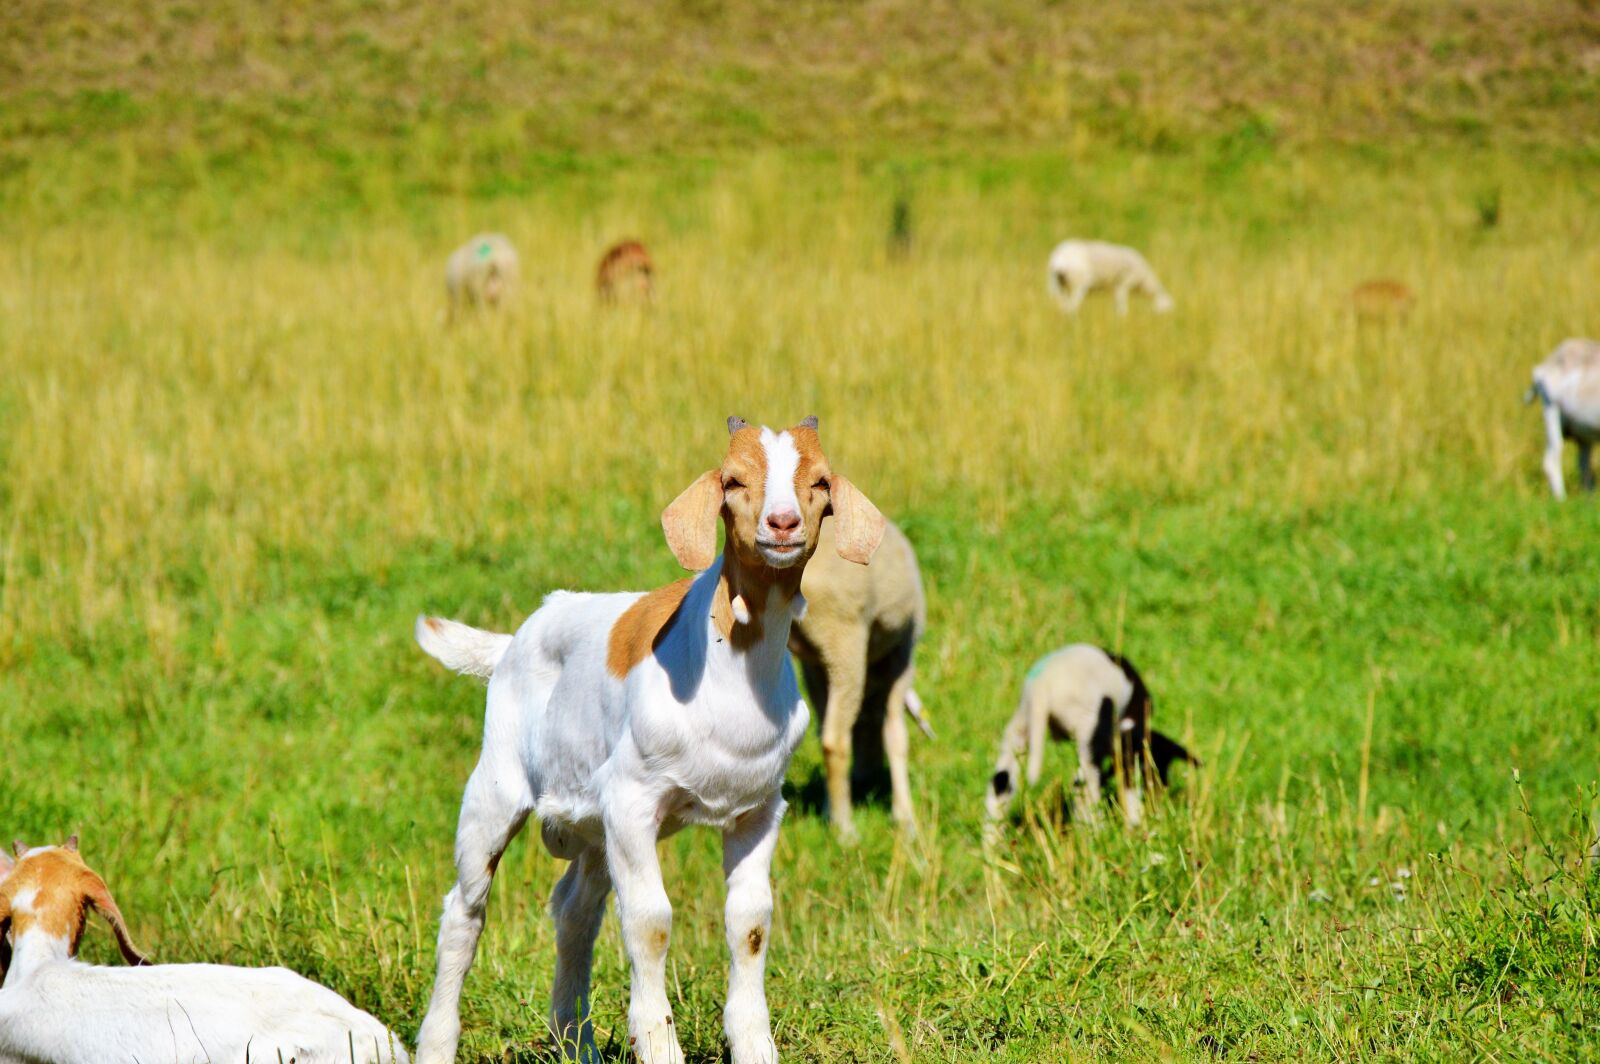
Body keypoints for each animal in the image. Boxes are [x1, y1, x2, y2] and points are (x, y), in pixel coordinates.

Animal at [412, 416, 886, 1064]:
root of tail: (514, 640)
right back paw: (438, 1041)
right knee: (466, 909)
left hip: (592, 821)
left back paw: (576, 1041)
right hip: (498, 784)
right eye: (732, 481)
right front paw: (658, 1041)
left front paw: (753, 1043)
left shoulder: (759, 808)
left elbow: (751, 922)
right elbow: (650, 920)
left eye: (819, 482)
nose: (782, 524)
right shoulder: (632, 799)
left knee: (574, 910)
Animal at [789, 517, 929, 842]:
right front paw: (905, 819)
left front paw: (826, 807)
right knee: (834, 740)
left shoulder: (814, 665)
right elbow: (896, 734)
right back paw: (845, 830)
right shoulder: (902, 656)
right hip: (844, 636)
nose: (866, 777)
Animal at [984, 646, 1197, 830]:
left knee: (1000, 785)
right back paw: (1097, 831)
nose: (1159, 796)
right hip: (1088, 728)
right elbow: (1128, 782)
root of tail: (1042, 686)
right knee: (1084, 785)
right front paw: (1134, 824)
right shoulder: (1126, 741)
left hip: (1019, 728)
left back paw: (991, 848)